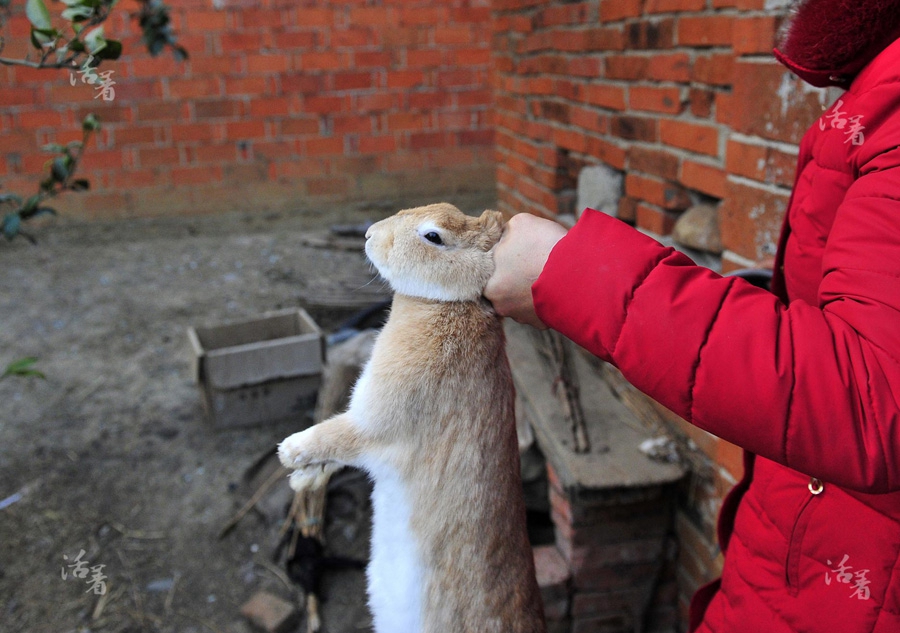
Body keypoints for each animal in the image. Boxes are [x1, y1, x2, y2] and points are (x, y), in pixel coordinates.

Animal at [274, 202, 544, 632]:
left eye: (433, 236)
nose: (369, 234)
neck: (448, 304)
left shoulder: (375, 421)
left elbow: (336, 435)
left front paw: (290, 452)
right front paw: (303, 479)